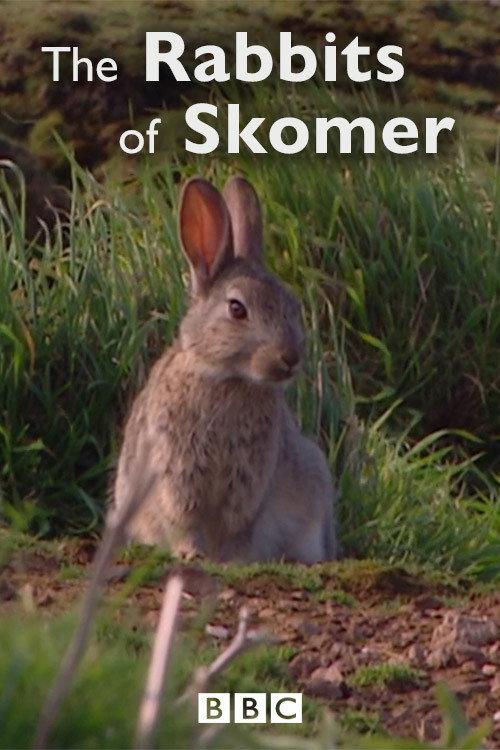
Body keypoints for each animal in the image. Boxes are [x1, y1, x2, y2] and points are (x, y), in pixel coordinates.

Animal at [112, 176, 337, 563]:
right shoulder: (176, 472)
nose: (290, 357)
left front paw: (231, 560)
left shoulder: (248, 482)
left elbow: (236, 527)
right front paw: (192, 554)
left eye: (292, 305)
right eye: (236, 309)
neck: (228, 378)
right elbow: (185, 518)